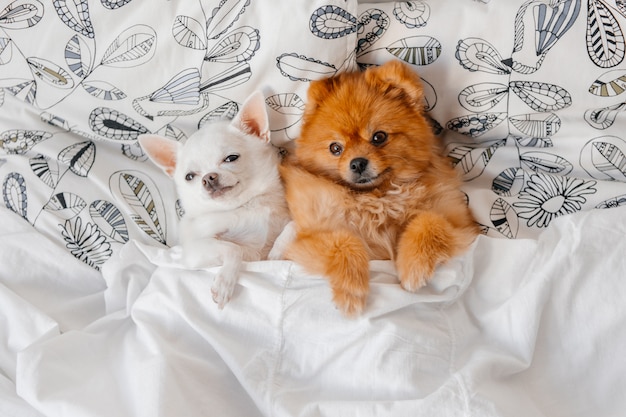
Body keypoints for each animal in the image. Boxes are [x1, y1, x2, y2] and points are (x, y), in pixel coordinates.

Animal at [138, 90, 288, 306]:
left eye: (231, 158)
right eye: (189, 176)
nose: (209, 177)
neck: (245, 206)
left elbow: (292, 227)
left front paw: (278, 250)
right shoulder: (194, 252)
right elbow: (233, 249)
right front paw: (225, 283)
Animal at [278, 60, 478, 316]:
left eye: (379, 137)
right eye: (335, 148)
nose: (357, 163)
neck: (378, 198)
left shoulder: (461, 224)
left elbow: (428, 222)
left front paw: (413, 267)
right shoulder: (309, 238)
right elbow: (344, 241)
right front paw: (351, 290)